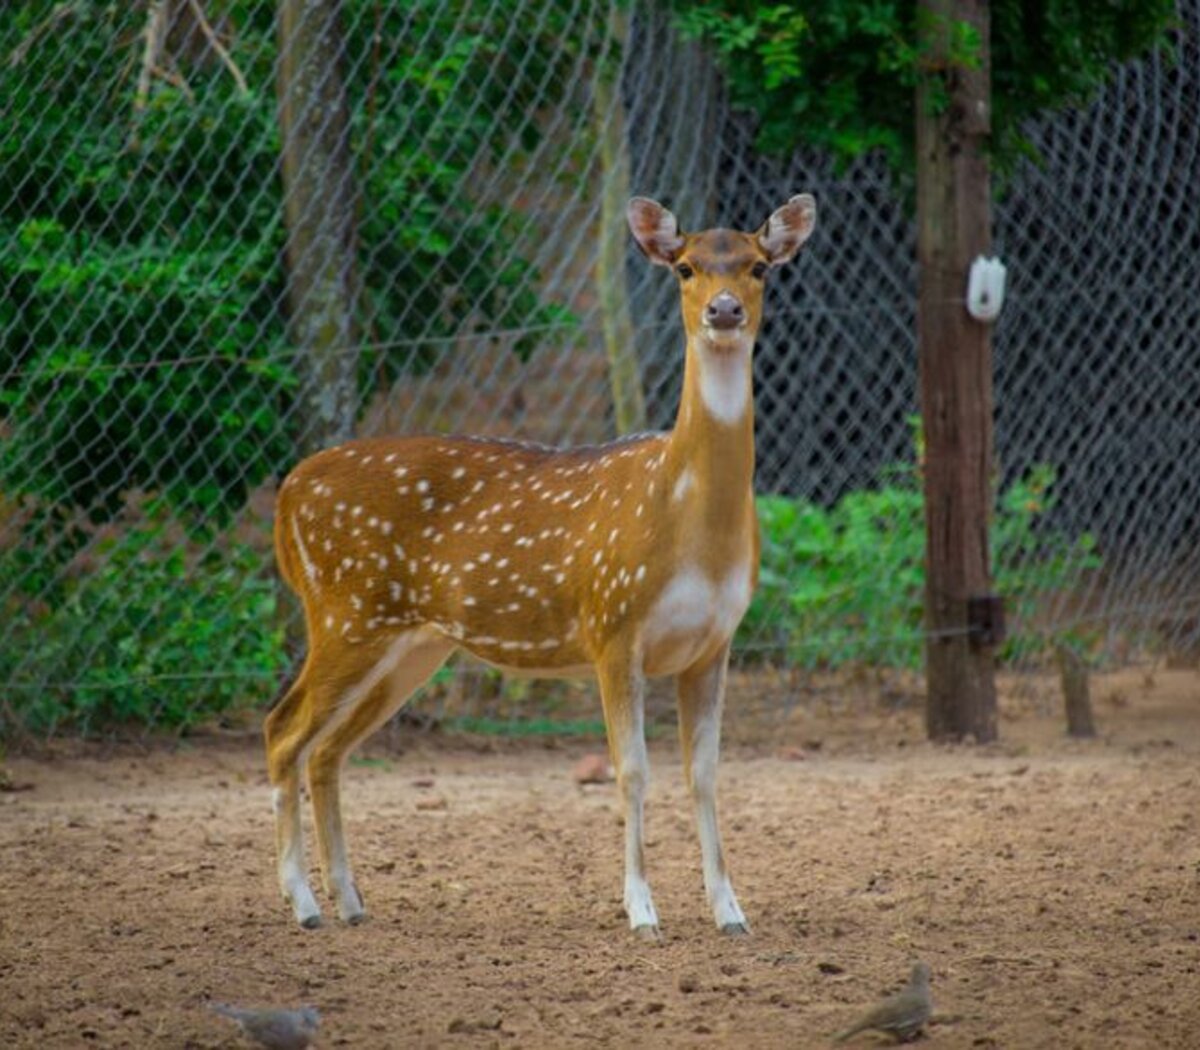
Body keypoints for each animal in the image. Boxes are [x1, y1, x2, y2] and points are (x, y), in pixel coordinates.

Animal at [267, 193, 820, 940]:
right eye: (684, 267)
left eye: (759, 266)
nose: (725, 309)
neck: (688, 525)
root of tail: (287, 495)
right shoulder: (612, 623)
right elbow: (631, 771)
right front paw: (642, 911)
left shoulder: (714, 641)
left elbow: (703, 774)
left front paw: (731, 912)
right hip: (343, 612)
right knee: (282, 731)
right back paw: (303, 904)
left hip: (411, 643)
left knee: (328, 747)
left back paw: (350, 902)